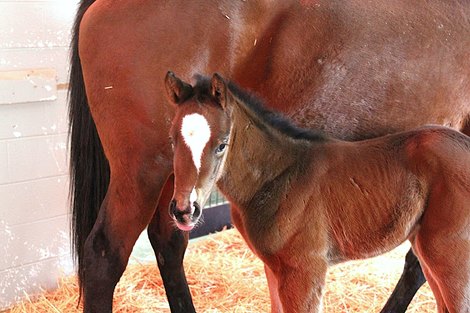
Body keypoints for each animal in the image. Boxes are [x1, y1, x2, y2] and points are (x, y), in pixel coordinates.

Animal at [166, 72, 470, 312]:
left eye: (222, 144)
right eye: (172, 140)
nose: (185, 210)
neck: (278, 176)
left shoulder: (305, 270)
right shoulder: (274, 269)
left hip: (450, 254)